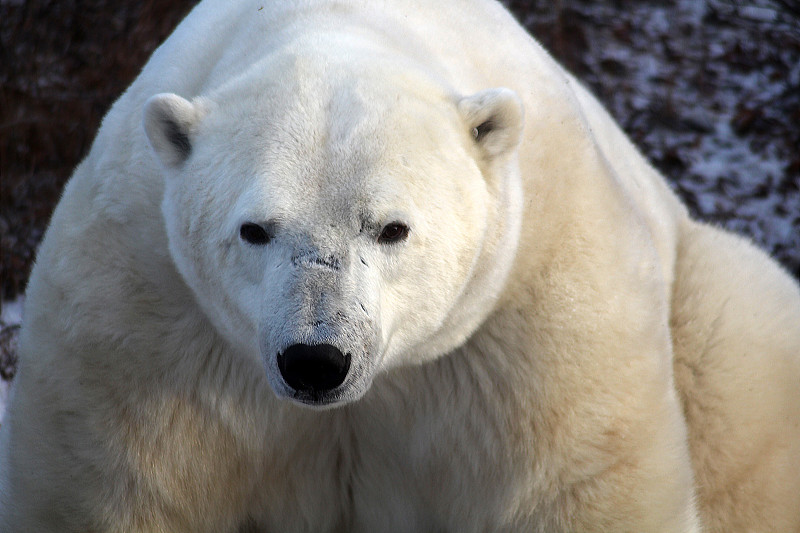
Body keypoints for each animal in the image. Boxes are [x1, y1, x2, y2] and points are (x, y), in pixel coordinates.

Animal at [1, 0, 800, 528]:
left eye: (391, 228)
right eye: (254, 229)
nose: (316, 360)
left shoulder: (538, 315)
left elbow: (576, 485)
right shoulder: (141, 319)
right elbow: (118, 484)